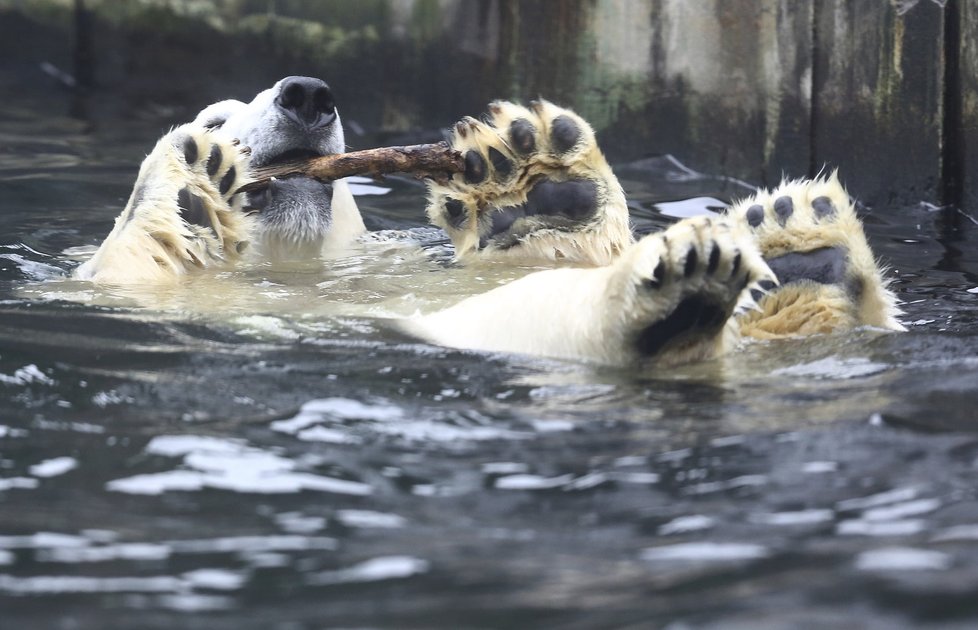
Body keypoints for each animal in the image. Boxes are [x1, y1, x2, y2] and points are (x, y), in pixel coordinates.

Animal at [72, 76, 904, 368]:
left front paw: (532, 191)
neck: (293, 270)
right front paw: (187, 191)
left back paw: (802, 253)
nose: (307, 94)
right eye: (216, 117)